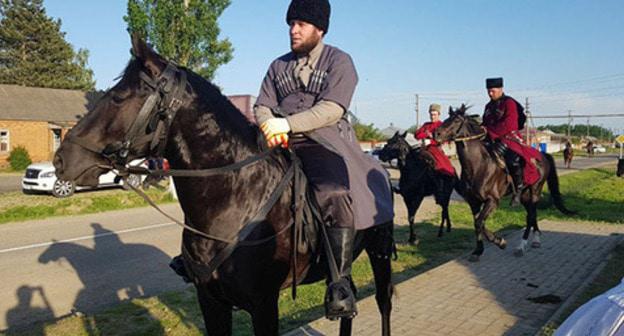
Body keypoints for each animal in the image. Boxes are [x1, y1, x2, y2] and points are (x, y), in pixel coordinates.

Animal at [54, 35, 394, 334]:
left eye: (118, 97)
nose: (61, 159)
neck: (234, 198)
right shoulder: (211, 301)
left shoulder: (263, 305)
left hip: (379, 253)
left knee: (383, 303)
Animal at [434, 105, 576, 260]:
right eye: (447, 118)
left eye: (457, 120)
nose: (436, 133)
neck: (478, 165)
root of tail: (543, 155)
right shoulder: (474, 202)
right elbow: (478, 224)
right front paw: (478, 250)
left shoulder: (493, 201)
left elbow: (479, 223)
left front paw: (499, 241)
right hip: (525, 196)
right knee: (532, 214)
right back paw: (536, 240)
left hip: (535, 191)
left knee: (530, 216)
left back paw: (521, 246)